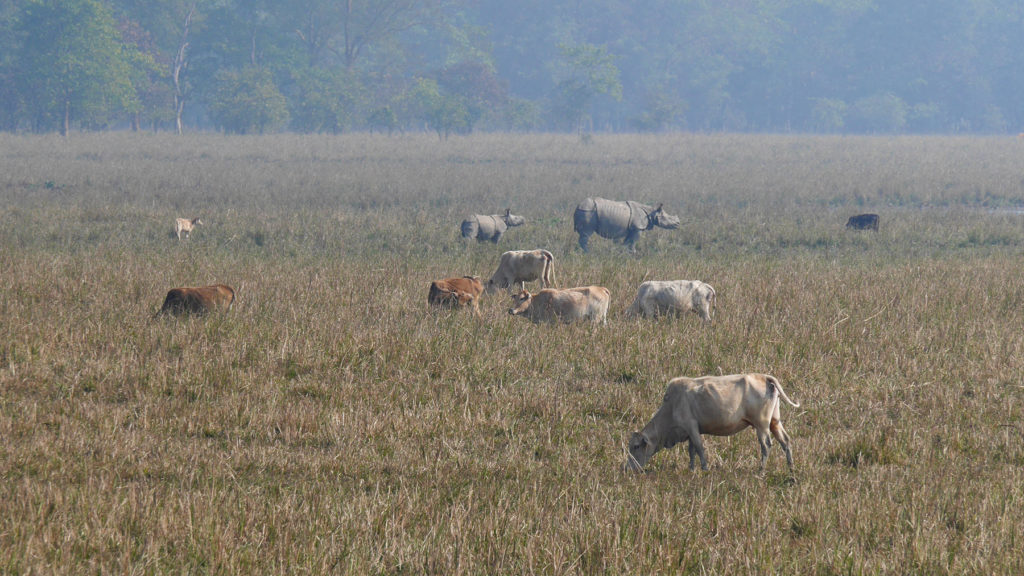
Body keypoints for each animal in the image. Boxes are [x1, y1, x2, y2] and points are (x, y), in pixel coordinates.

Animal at [622, 373, 798, 471]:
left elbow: (700, 449)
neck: (671, 406)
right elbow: (691, 451)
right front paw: (691, 469)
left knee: (766, 445)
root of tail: (763, 376)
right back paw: (791, 469)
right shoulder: (690, 432)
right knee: (786, 441)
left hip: (761, 424)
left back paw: (761, 471)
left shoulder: (691, 427)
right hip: (775, 422)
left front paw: (704, 469)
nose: (628, 468)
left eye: (636, 446)